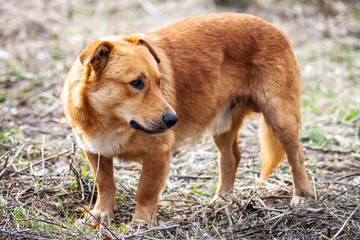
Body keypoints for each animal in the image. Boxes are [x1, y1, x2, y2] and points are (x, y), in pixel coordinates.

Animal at [62, 13, 316, 223]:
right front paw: (101, 214)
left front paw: (142, 224)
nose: (173, 120)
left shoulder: (157, 155)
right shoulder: (96, 151)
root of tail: (276, 28)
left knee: (297, 155)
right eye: (136, 83)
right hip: (222, 125)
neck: (110, 121)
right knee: (231, 157)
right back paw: (222, 200)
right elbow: (104, 184)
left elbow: (145, 191)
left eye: (159, 82)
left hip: (280, 116)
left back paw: (303, 196)